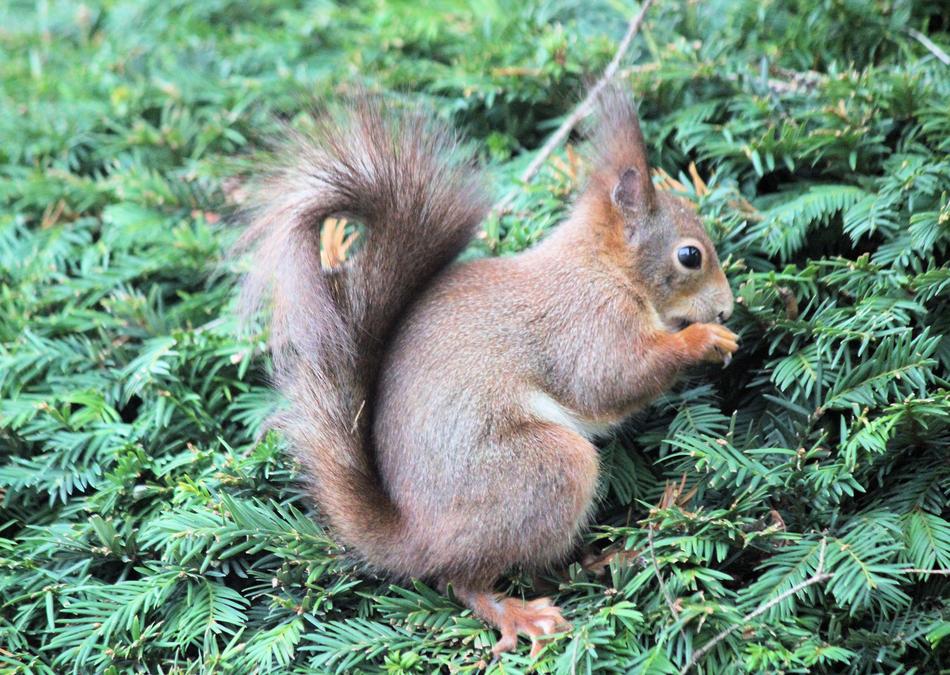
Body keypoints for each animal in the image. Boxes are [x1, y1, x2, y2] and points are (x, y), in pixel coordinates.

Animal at [237, 88, 737, 658]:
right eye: (690, 255)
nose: (726, 308)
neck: (602, 265)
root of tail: (417, 537)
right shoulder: (589, 320)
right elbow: (612, 378)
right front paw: (702, 340)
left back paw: (603, 560)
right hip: (545, 471)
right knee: (466, 580)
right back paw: (525, 611)